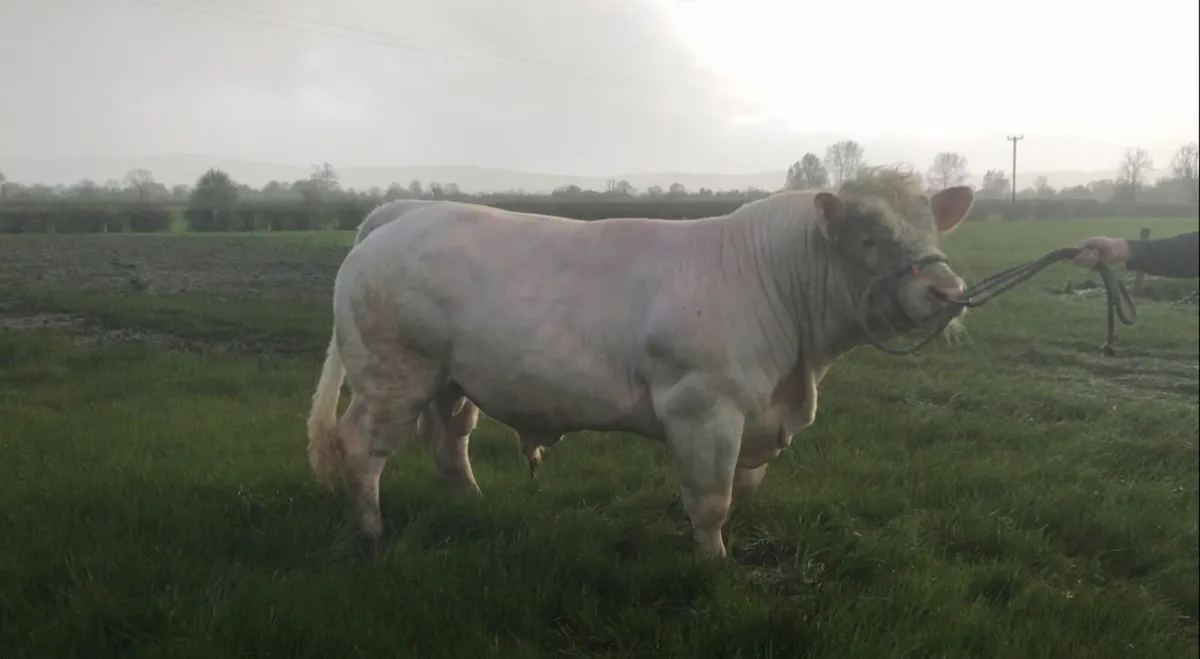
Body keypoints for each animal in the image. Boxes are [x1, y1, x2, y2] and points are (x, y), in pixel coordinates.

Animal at [306, 168, 974, 559]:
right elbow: (712, 498)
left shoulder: (759, 415)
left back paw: (471, 505)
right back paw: (372, 533)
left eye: (932, 226)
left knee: (448, 441)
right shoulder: (702, 408)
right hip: (393, 375)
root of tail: (401, 212)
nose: (947, 291)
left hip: (448, 380)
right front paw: (714, 568)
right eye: (868, 236)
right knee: (360, 447)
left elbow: (741, 488)